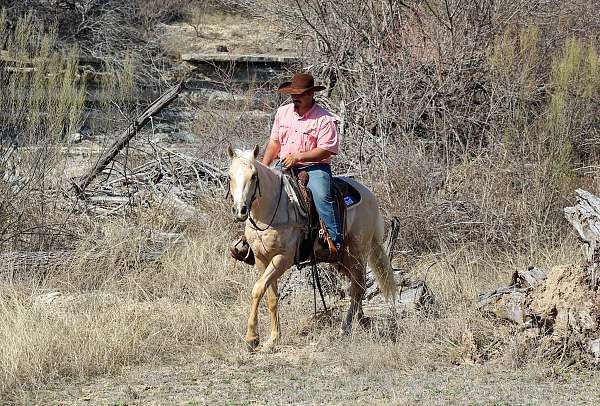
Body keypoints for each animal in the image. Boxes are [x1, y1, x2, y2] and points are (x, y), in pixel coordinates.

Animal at [227, 146, 396, 352]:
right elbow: (271, 296)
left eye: (253, 176)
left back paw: (346, 327)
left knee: (358, 286)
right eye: (229, 176)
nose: (240, 211)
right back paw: (360, 319)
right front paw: (273, 338)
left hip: (358, 251)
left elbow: (258, 290)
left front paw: (251, 338)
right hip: (342, 259)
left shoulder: (283, 258)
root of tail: (369, 195)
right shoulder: (261, 259)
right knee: (358, 286)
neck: (270, 213)